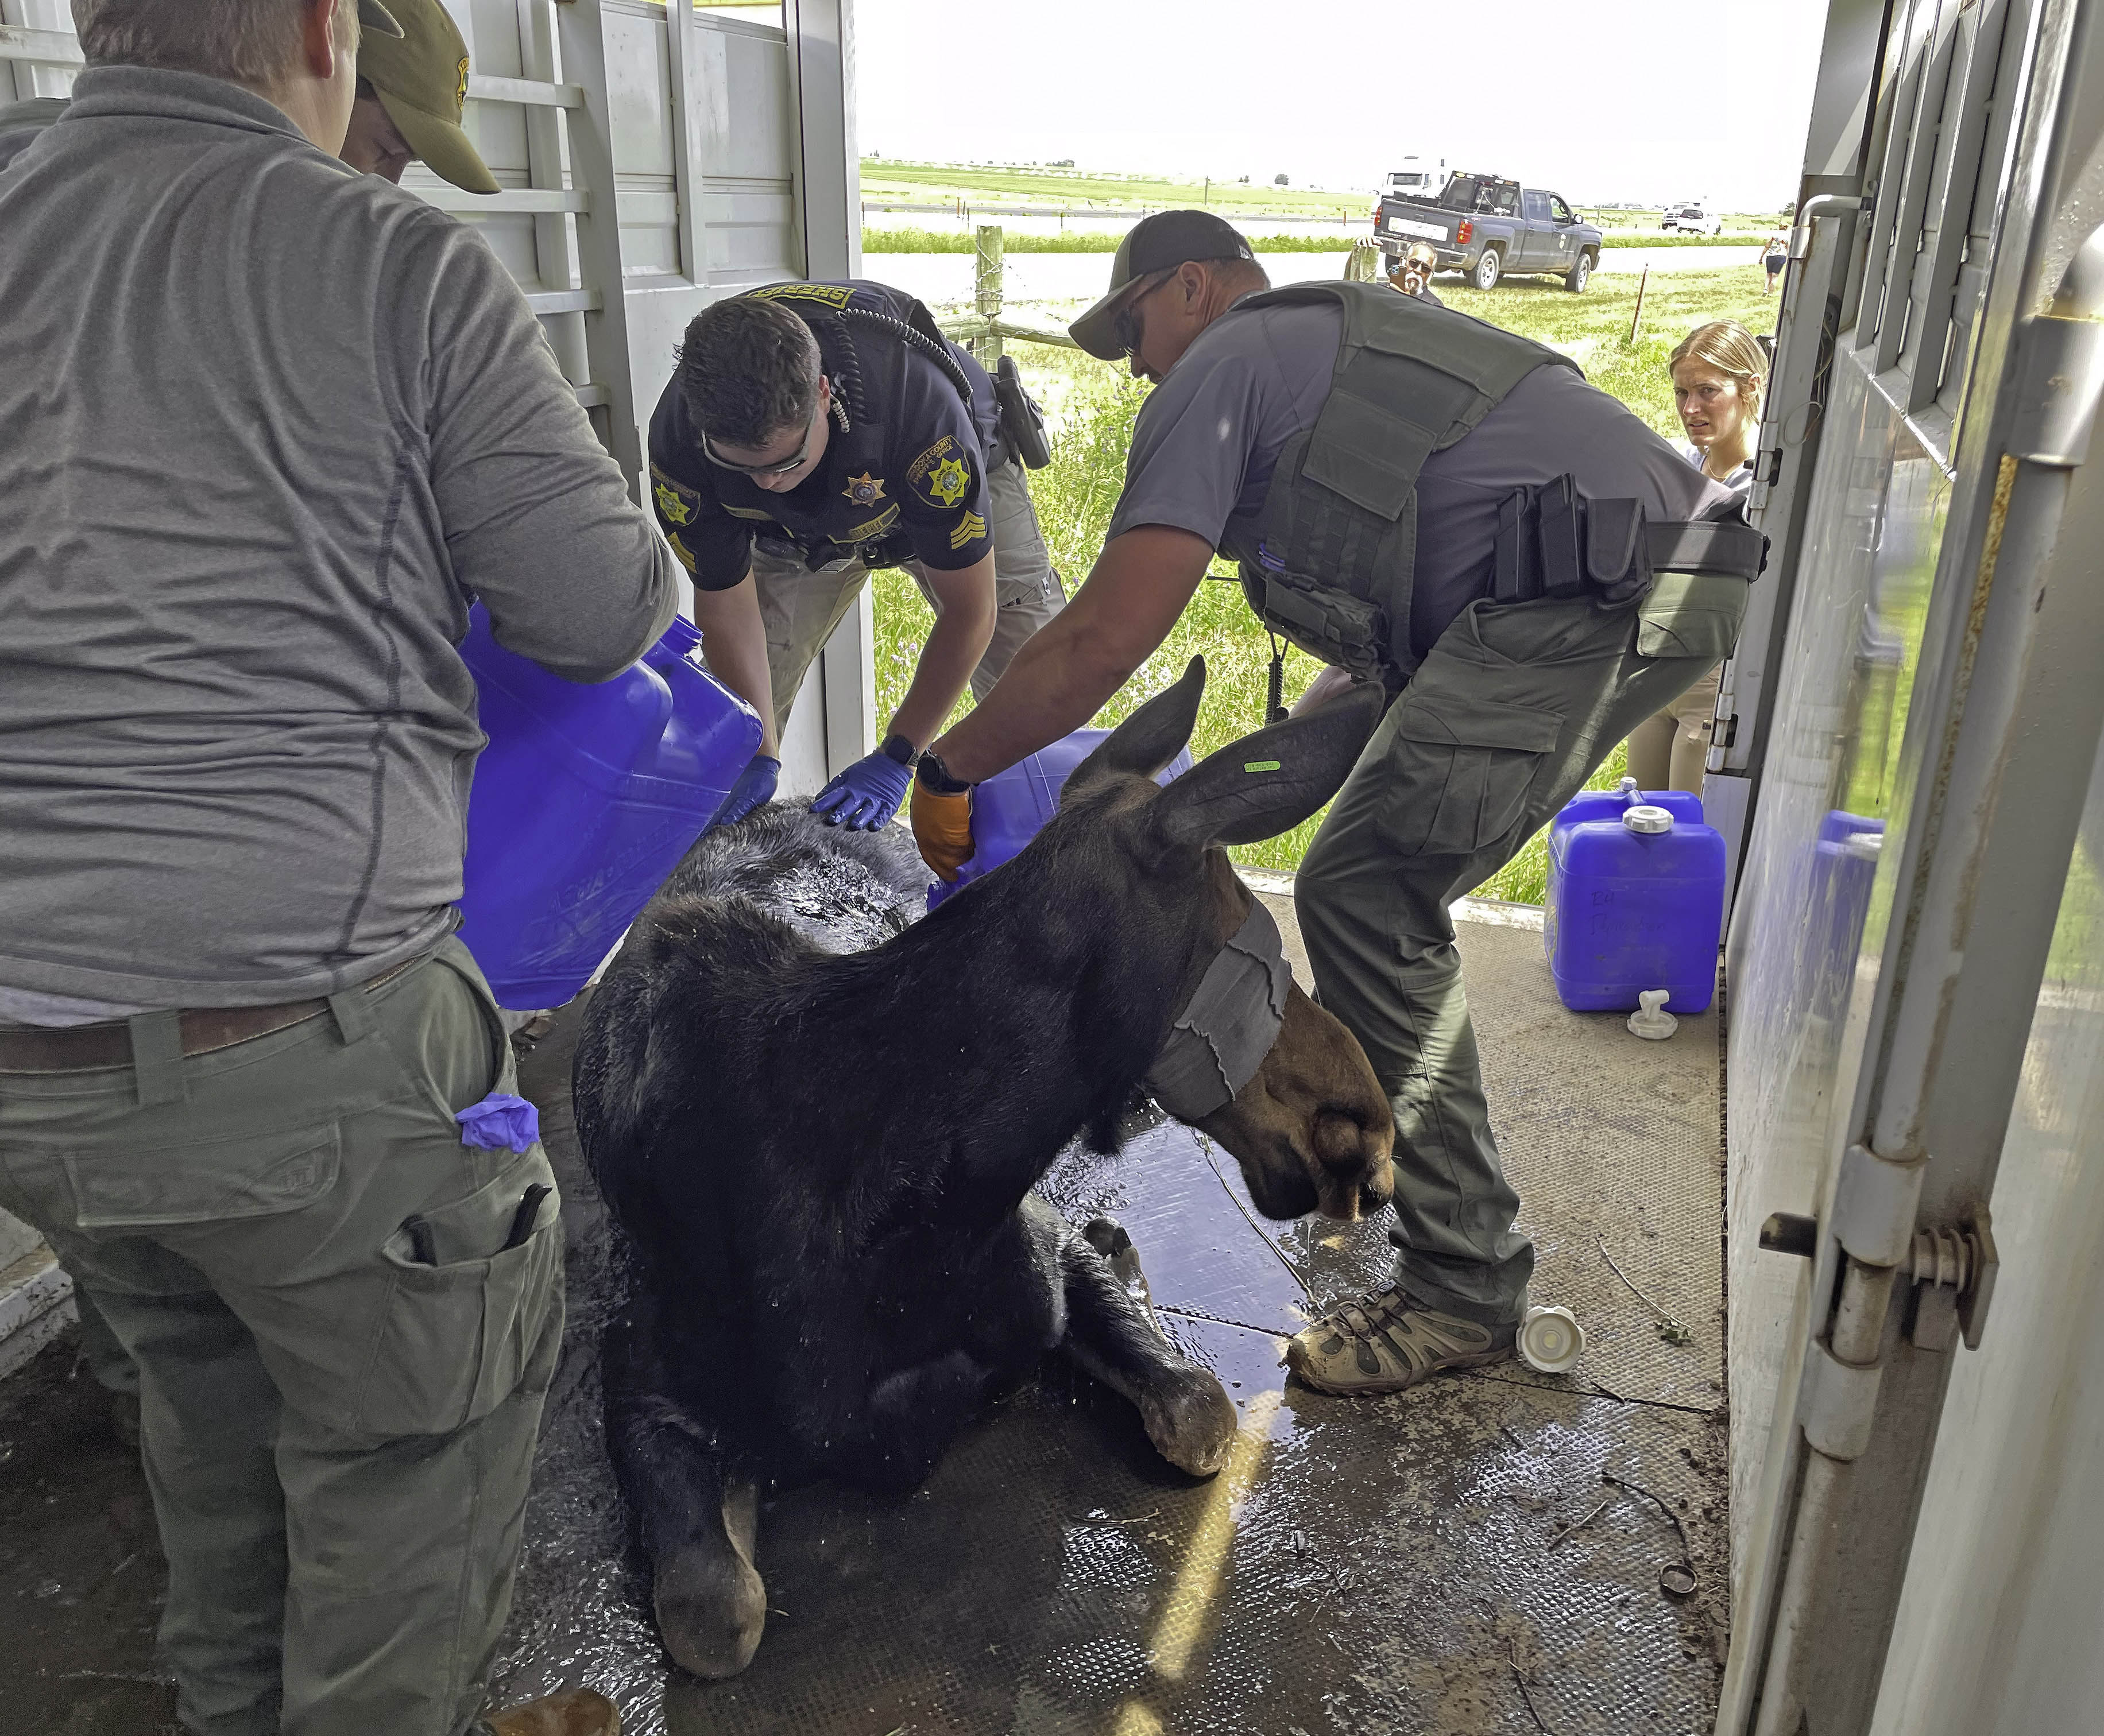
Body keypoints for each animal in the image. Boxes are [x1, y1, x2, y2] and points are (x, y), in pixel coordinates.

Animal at [576, 656, 1397, 1675]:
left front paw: (1127, 1273)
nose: (1369, 1130)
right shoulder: (638, 1380)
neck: (921, 1215)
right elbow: (718, 1614)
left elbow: (1199, 1411)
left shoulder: (1040, 1240)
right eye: (1268, 955)